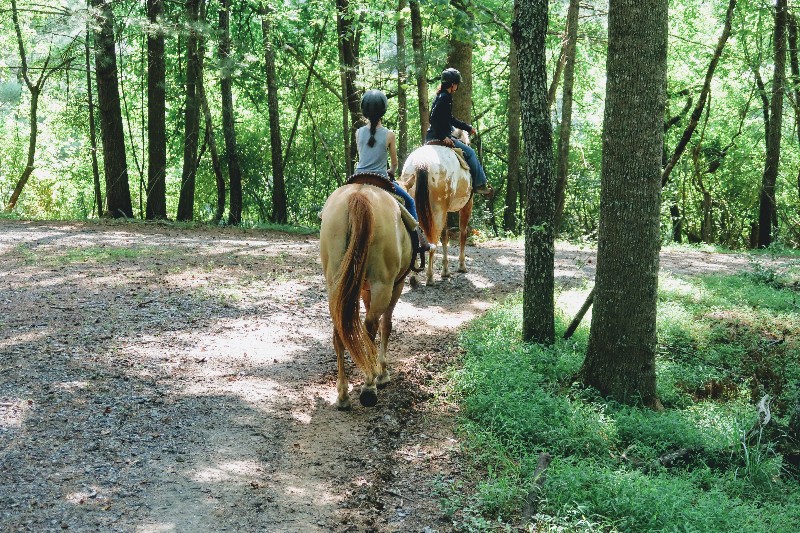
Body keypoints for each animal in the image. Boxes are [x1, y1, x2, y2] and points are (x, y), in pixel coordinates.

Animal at [318, 183, 412, 408]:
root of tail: (358, 195)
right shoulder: (396, 285)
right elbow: (386, 326)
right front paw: (383, 373)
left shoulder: (364, 290)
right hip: (383, 285)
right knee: (370, 327)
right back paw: (369, 386)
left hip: (336, 285)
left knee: (340, 330)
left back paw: (343, 394)